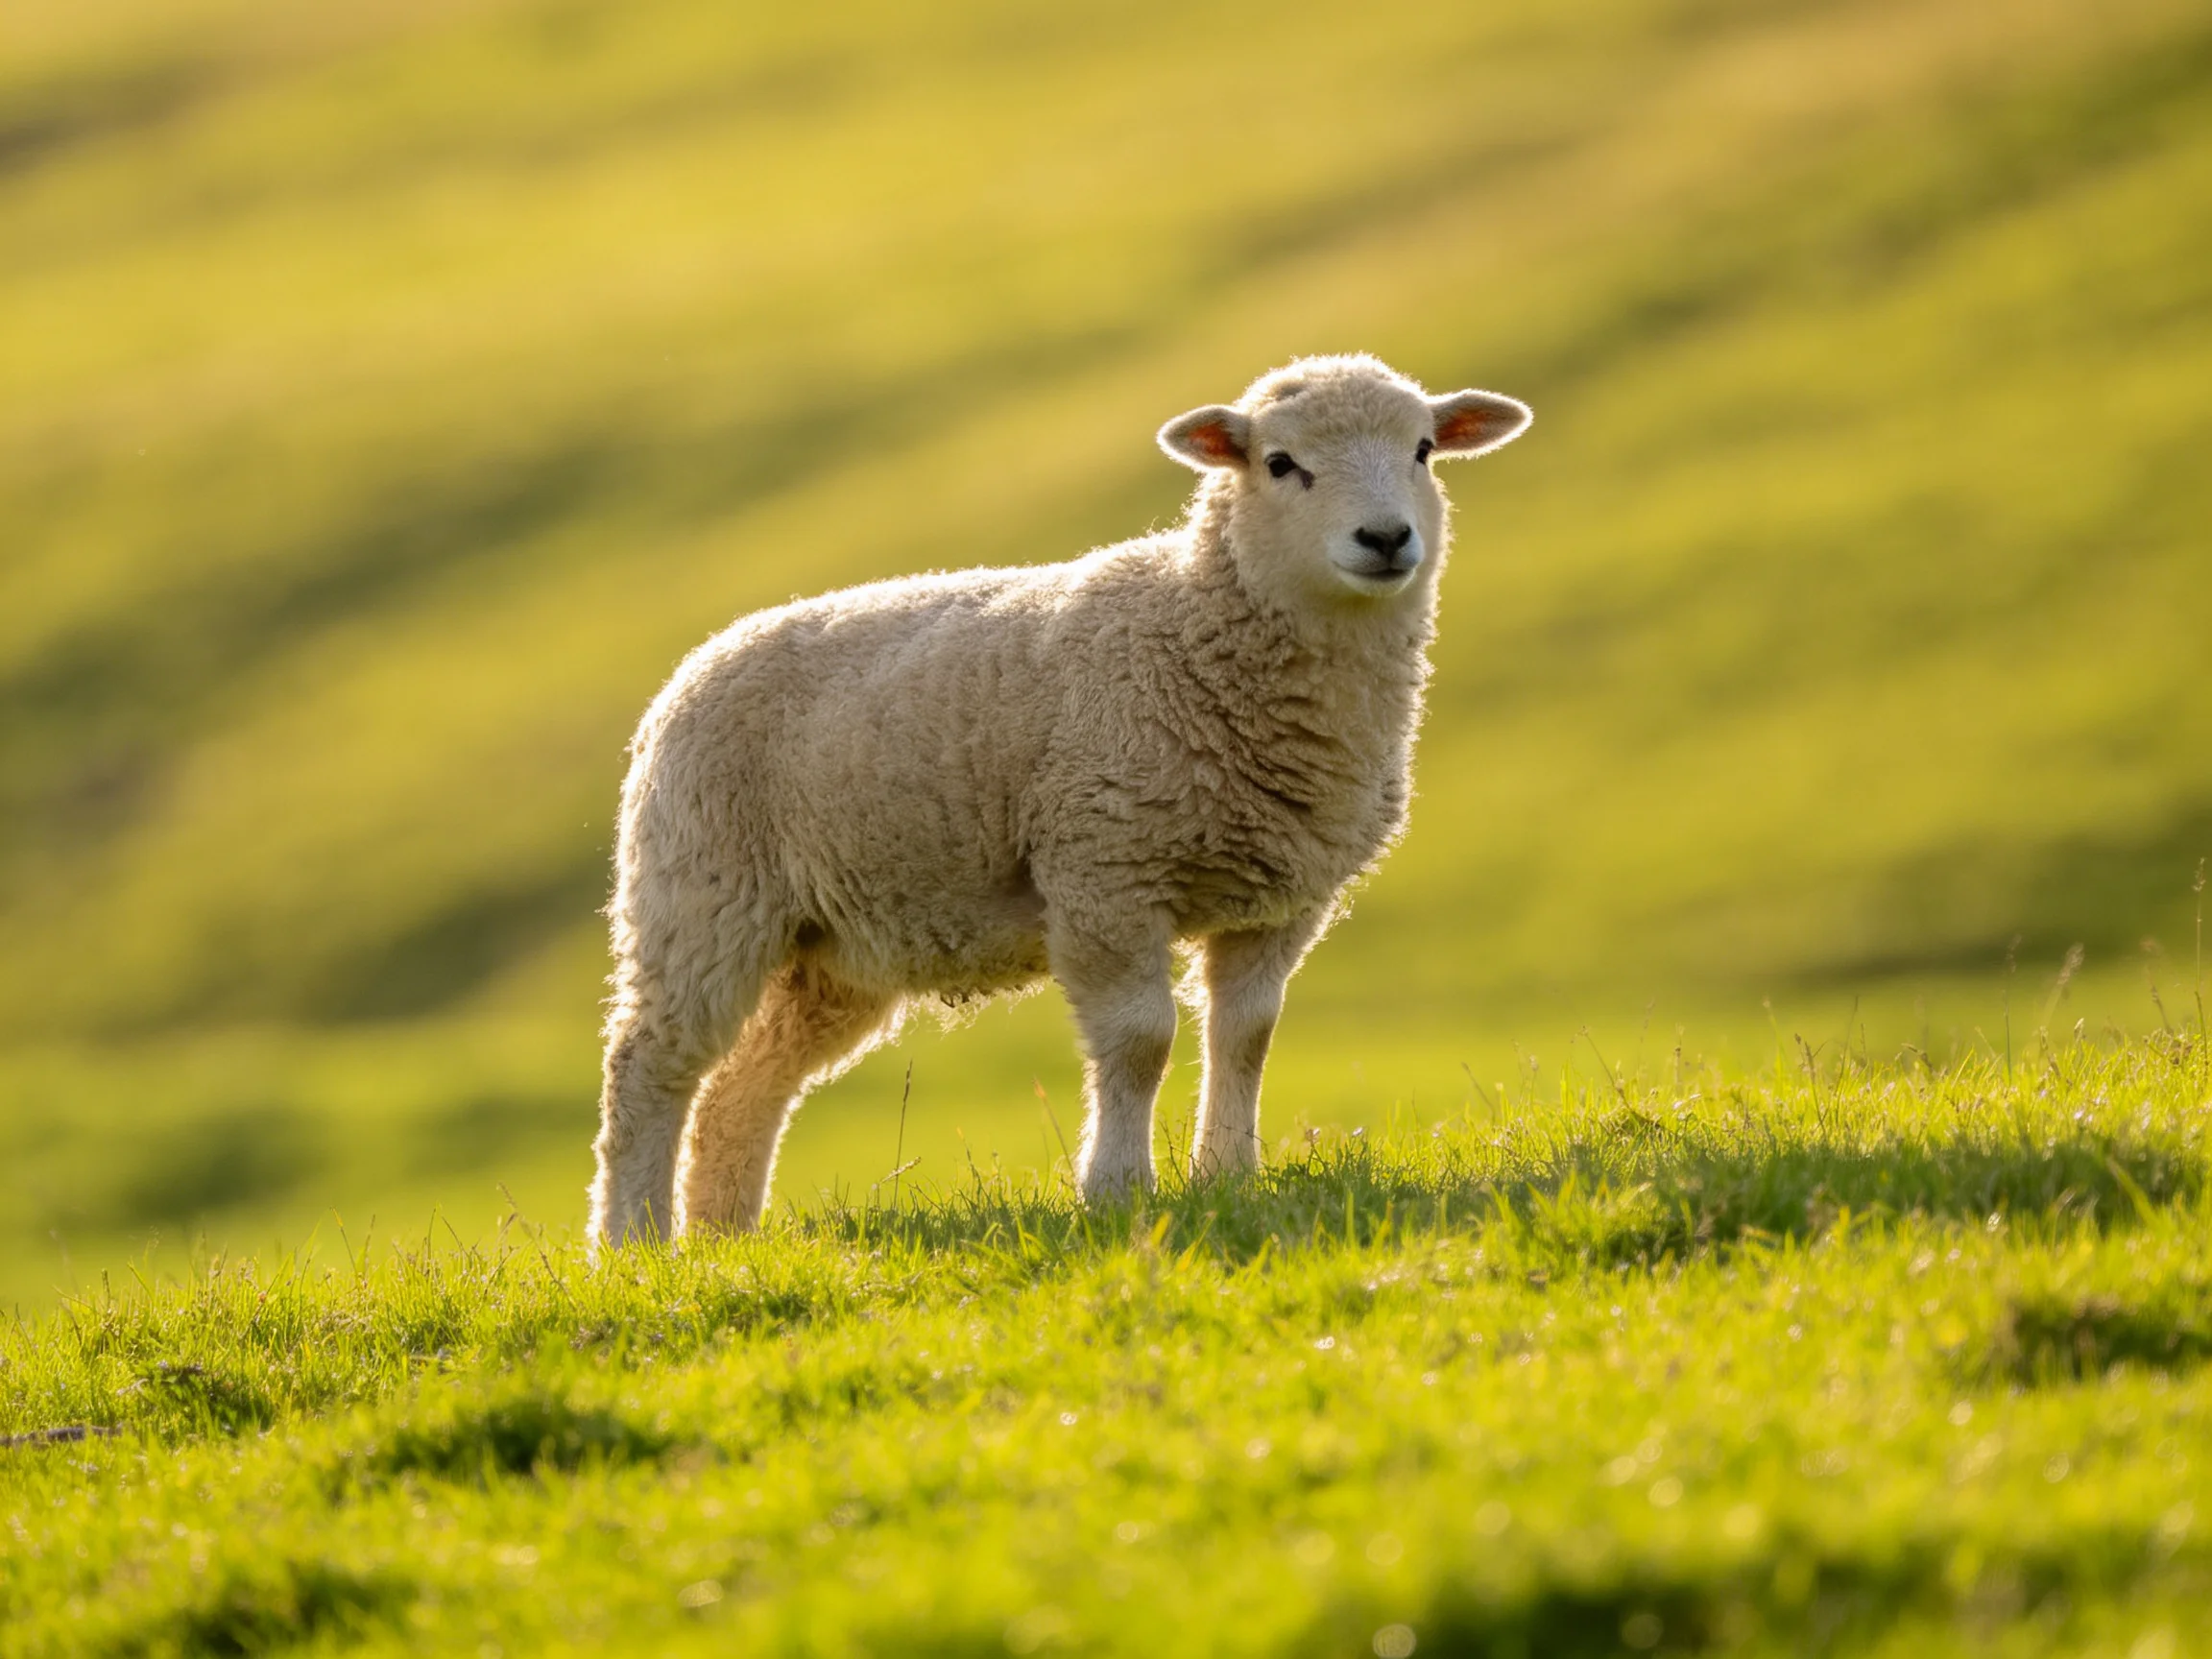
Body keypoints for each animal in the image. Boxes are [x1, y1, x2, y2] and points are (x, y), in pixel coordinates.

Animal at [587, 353, 1531, 1245]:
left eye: (1422, 450)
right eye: (1279, 462)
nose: (1386, 537)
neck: (1196, 633)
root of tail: (694, 667)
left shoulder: (1279, 900)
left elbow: (1247, 1037)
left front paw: (1227, 1177)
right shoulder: (1104, 870)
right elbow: (1141, 1041)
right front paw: (1117, 1189)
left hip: (833, 952)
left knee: (743, 1090)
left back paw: (724, 1236)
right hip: (701, 897)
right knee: (649, 1070)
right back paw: (637, 1244)